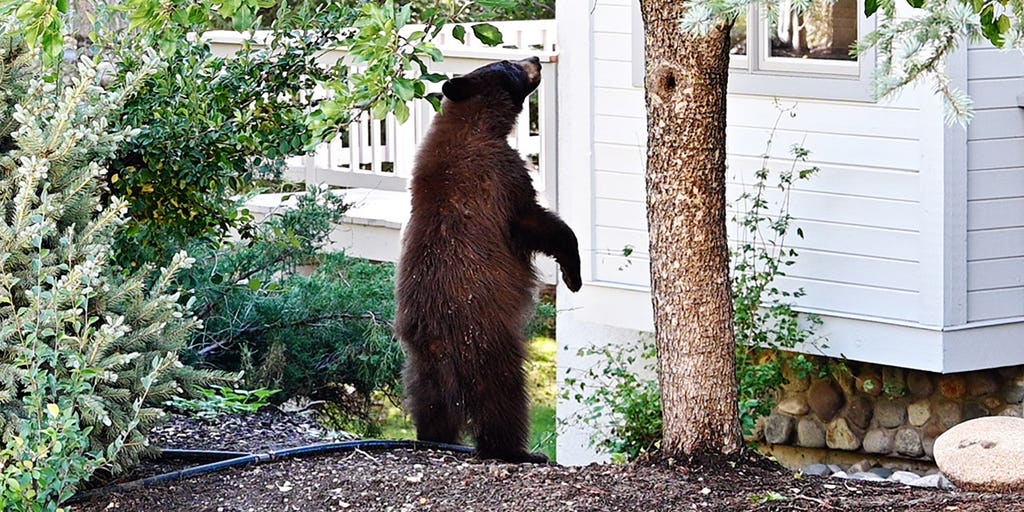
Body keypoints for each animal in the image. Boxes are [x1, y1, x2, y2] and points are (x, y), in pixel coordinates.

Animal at [395, 56, 582, 463]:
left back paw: (435, 437)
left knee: (429, 405)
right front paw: (573, 274)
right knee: (504, 401)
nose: (535, 58)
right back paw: (519, 451)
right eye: (508, 63)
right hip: (488, 347)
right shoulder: (501, 175)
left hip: (419, 366)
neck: (475, 122)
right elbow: (535, 221)